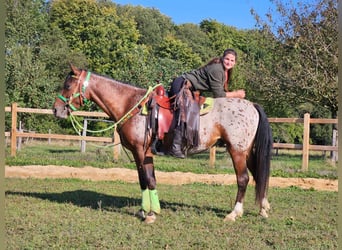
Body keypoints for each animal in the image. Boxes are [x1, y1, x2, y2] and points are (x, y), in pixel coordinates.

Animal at [52, 63, 272, 224]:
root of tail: (252, 105)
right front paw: (145, 210)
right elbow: (144, 180)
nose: (56, 109)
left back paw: (234, 213)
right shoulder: (141, 153)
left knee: (243, 179)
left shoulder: (141, 151)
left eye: (68, 85)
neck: (131, 104)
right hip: (247, 151)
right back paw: (263, 208)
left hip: (237, 150)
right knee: (258, 175)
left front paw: (151, 214)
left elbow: (149, 179)